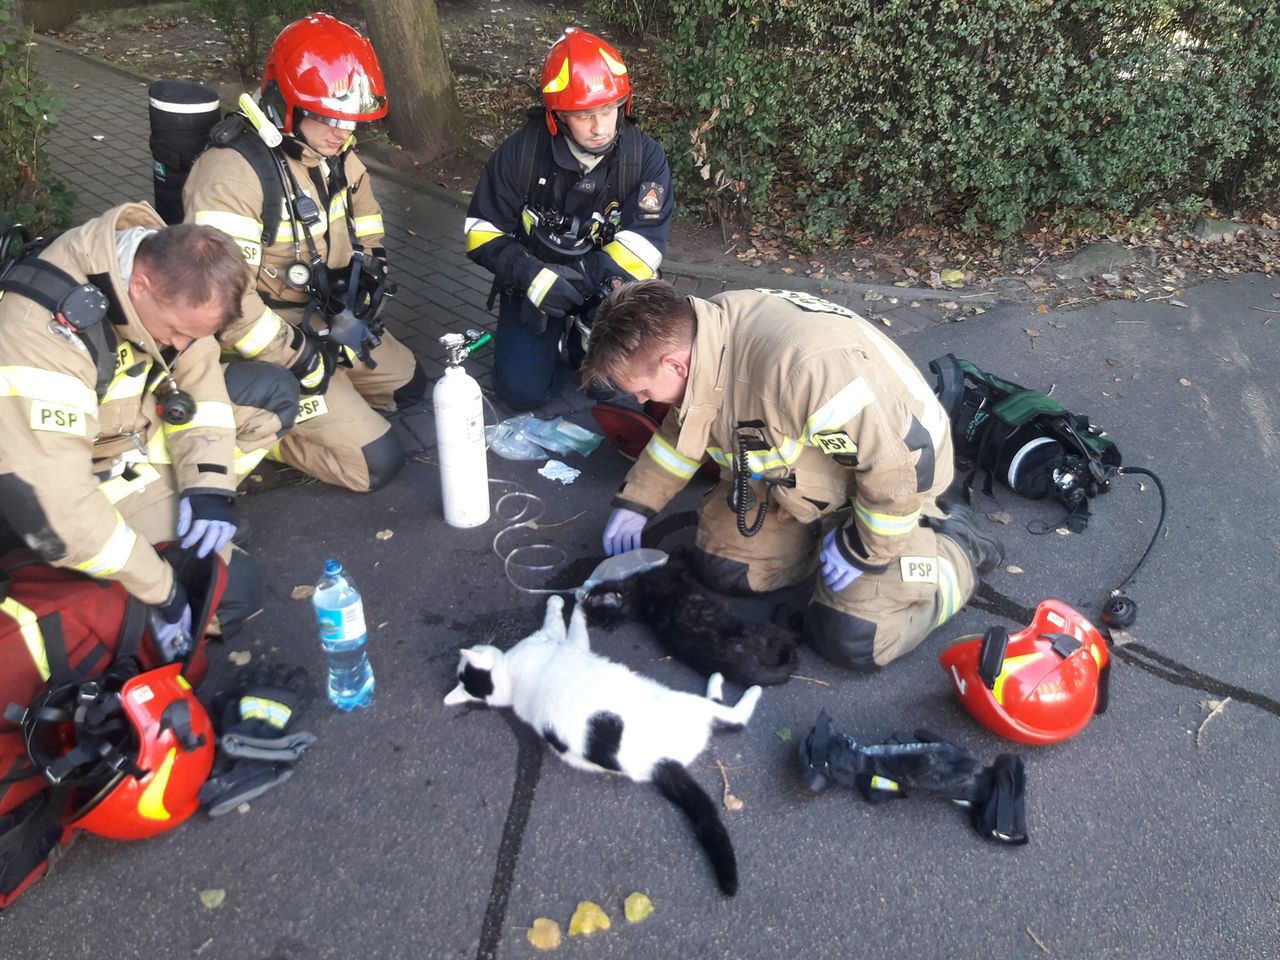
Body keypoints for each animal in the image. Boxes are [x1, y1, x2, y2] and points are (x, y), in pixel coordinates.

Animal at [442, 599, 757, 901]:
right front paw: (566, 602)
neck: (509, 685)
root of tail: (659, 763)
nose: (476, 644)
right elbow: (563, 622)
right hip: (686, 705)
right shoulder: (569, 643)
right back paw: (742, 688)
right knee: (734, 720)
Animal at [583, 545, 798, 686]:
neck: (638, 601)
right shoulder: (670, 570)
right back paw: (784, 612)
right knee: (789, 637)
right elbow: (678, 560)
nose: (583, 596)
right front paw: (685, 551)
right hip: (762, 632)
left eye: (588, 596)